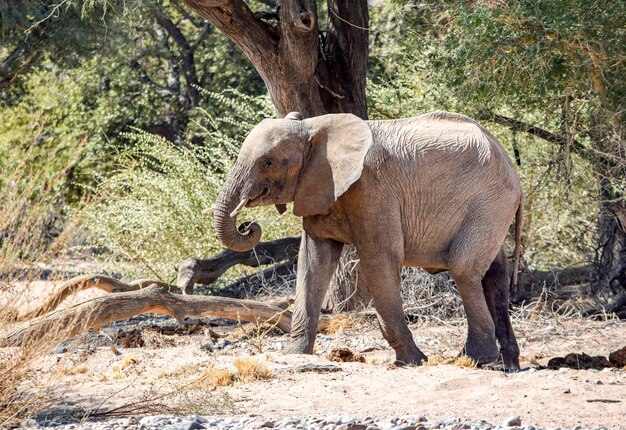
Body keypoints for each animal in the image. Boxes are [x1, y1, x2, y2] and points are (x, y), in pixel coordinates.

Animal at [213, 110, 520, 370]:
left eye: (268, 162)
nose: (247, 225)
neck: (312, 127)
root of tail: (508, 160)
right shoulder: (317, 188)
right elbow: (313, 262)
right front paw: (295, 355)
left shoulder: (372, 190)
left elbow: (379, 260)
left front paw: (413, 361)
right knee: (495, 276)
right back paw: (509, 364)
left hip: (490, 202)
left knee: (464, 270)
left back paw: (475, 359)